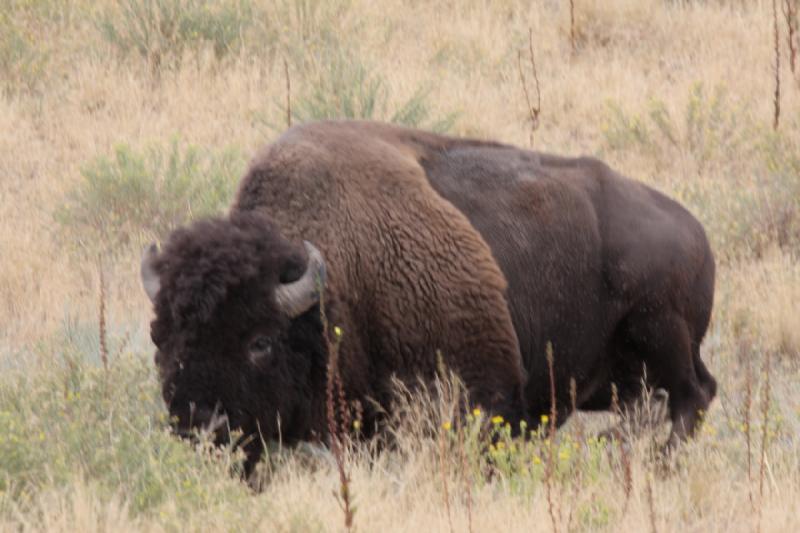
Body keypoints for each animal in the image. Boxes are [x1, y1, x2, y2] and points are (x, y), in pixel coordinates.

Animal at [139, 120, 720, 474]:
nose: (198, 425)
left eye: (260, 342)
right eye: (158, 338)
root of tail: (695, 230)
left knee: (693, 395)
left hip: (661, 331)